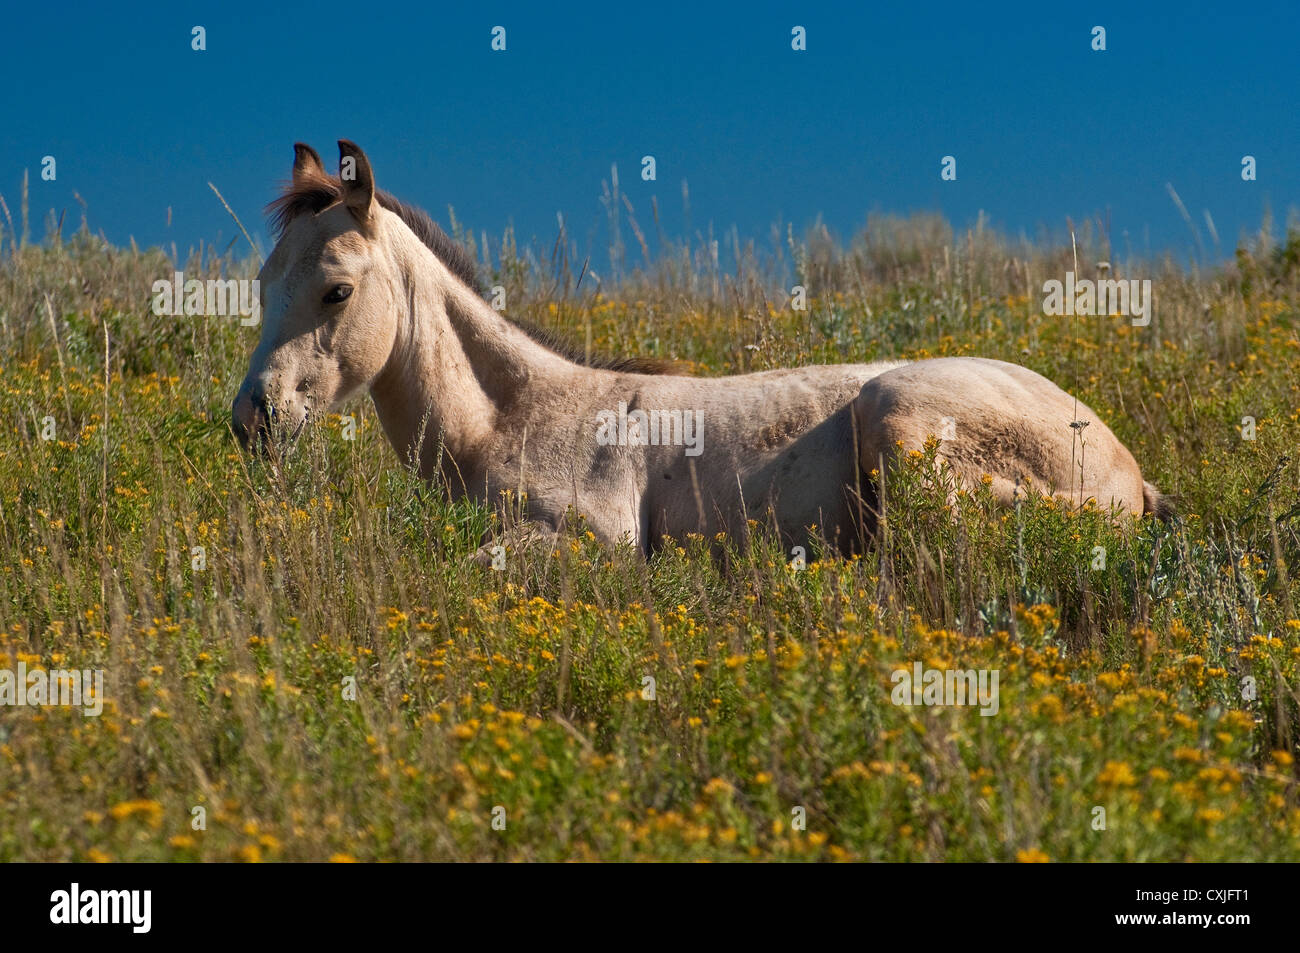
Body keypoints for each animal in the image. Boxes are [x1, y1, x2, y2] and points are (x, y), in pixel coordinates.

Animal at [231, 137, 1170, 561]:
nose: (253, 418)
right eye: (263, 283)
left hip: (900, 415)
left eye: (337, 291)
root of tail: (1124, 464)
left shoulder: (594, 540)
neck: (524, 414)